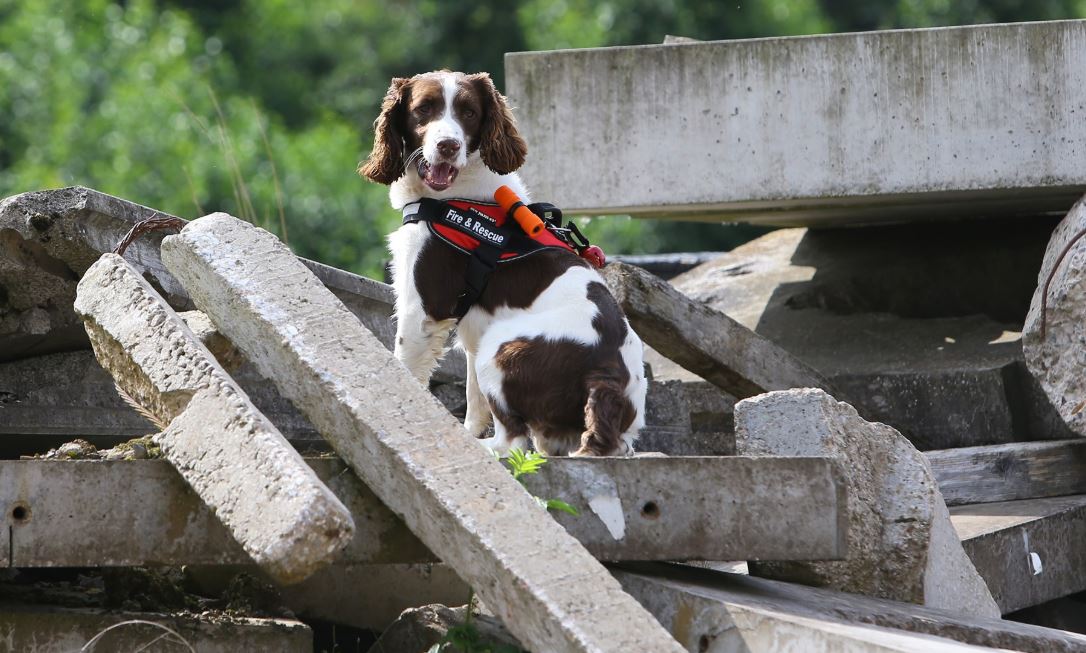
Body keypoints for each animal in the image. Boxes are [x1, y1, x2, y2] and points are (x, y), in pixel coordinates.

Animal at [360, 71, 642, 456]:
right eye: (424, 109)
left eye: (469, 113)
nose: (448, 146)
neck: (458, 193)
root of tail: (606, 380)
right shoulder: (471, 325)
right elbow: (473, 396)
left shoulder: (424, 307)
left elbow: (406, 365)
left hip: (501, 349)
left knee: (513, 440)